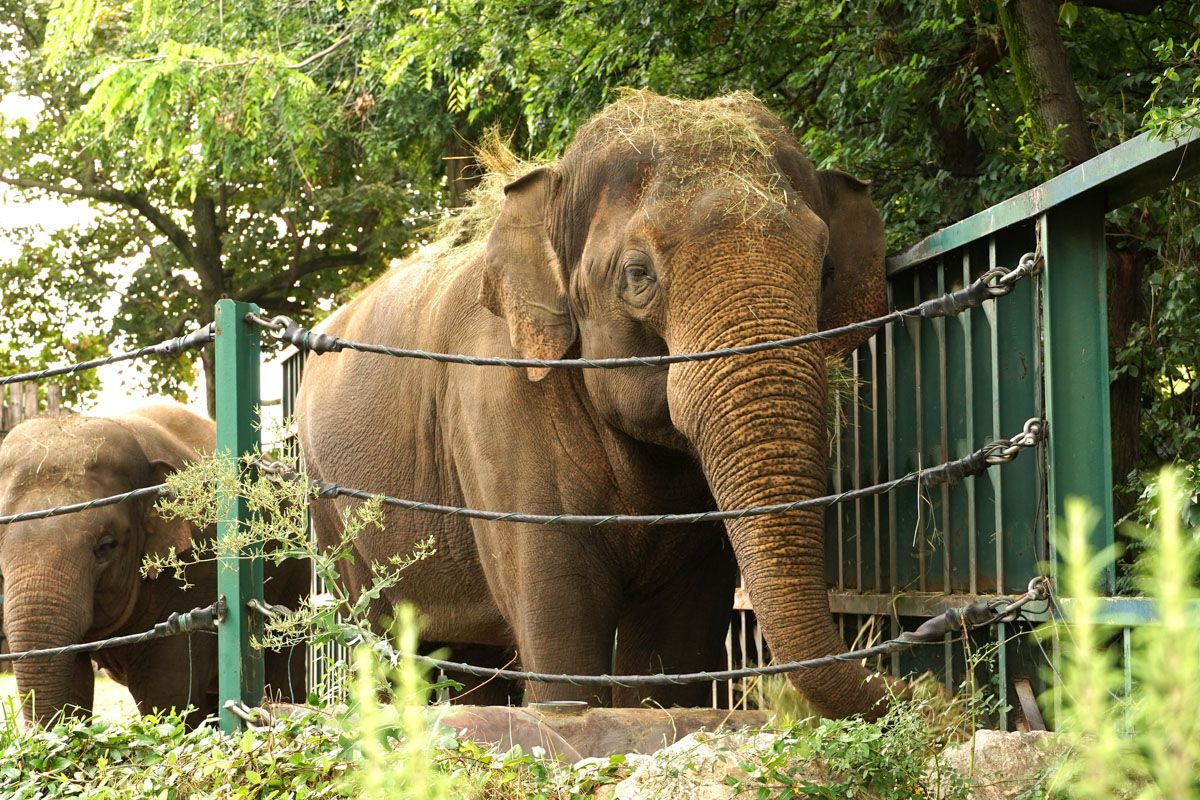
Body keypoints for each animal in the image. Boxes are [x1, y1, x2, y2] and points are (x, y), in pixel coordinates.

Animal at [297, 92, 892, 719]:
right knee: (380, 634)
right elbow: (562, 635)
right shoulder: (494, 406)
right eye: (637, 273)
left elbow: (675, 642)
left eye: (826, 270)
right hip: (330, 509)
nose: (907, 689)